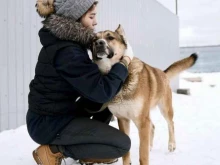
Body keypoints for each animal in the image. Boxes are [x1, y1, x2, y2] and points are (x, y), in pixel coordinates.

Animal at [91, 24, 198, 165]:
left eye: (110, 37)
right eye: (94, 40)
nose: (99, 43)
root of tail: (163, 73)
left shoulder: (142, 120)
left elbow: (143, 155)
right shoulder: (123, 120)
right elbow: (127, 153)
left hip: (164, 109)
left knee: (170, 124)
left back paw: (171, 145)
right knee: (152, 127)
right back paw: (151, 146)